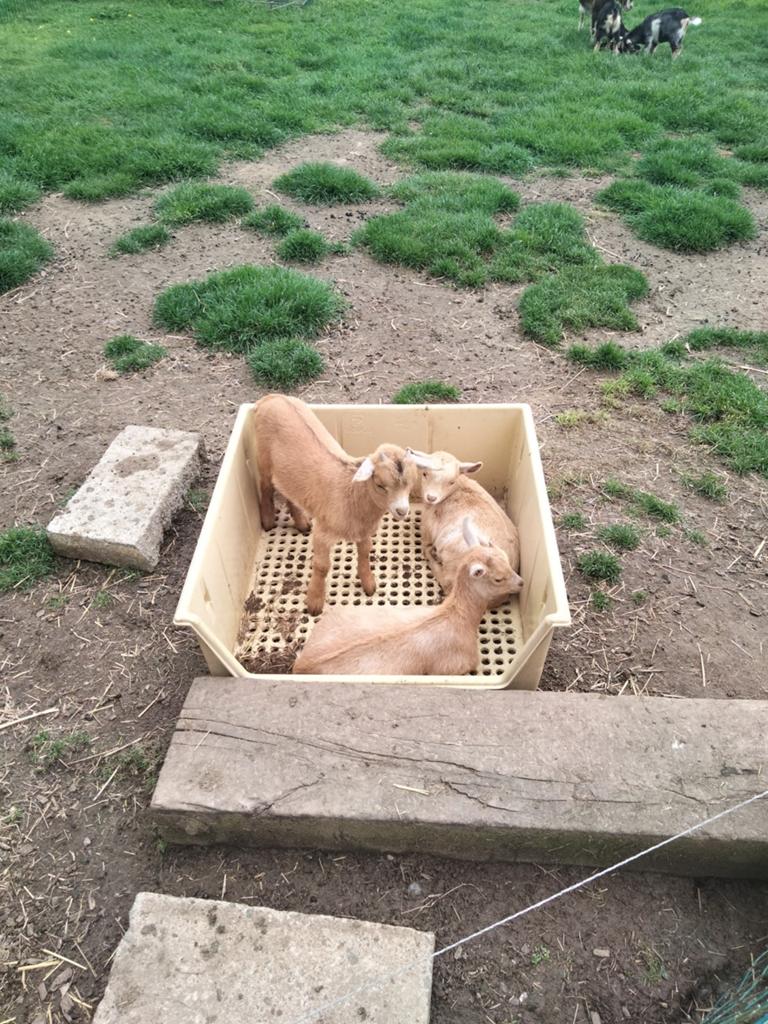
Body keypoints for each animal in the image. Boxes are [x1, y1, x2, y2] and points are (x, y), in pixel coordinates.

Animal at [253, 394, 417, 615]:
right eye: (380, 485)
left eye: (411, 482)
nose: (402, 510)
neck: (352, 494)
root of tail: (270, 398)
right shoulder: (323, 532)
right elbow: (322, 566)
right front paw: (314, 602)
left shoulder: (364, 531)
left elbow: (365, 554)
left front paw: (369, 585)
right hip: (262, 456)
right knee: (265, 486)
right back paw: (268, 520)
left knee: (289, 491)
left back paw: (301, 523)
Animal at [292, 518, 521, 676]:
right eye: (498, 579)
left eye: (505, 558)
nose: (520, 583)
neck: (458, 616)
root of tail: (301, 665)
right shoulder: (454, 666)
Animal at [407, 448, 523, 607]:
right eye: (425, 474)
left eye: (451, 481)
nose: (431, 497)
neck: (458, 487)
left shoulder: (427, 529)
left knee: (447, 582)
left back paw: (432, 556)